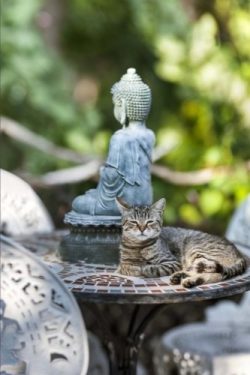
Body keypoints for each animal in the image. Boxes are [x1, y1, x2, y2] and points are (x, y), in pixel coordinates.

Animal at [116, 198, 247, 290]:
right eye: (134, 222)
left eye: (150, 222)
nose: (142, 228)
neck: (139, 247)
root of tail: (239, 254)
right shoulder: (124, 262)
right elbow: (125, 266)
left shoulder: (172, 262)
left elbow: (150, 268)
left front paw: (142, 267)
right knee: (214, 274)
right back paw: (184, 279)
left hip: (197, 251)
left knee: (213, 272)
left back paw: (184, 278)